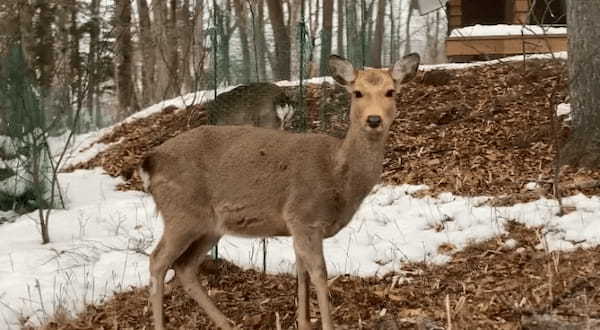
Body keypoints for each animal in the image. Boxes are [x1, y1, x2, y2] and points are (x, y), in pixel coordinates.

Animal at [141, 52, 420, 328]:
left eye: (391, 91)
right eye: (358, 92)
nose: (373, 120)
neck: (338, 177)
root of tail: (150, 162)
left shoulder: (296, 227)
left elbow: (301, 272)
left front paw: (304, 321)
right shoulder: (303, 216)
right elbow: (319, 273)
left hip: (209, 225)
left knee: (184, 267)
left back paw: (227, 323)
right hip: (181, 214)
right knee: (157, 261)